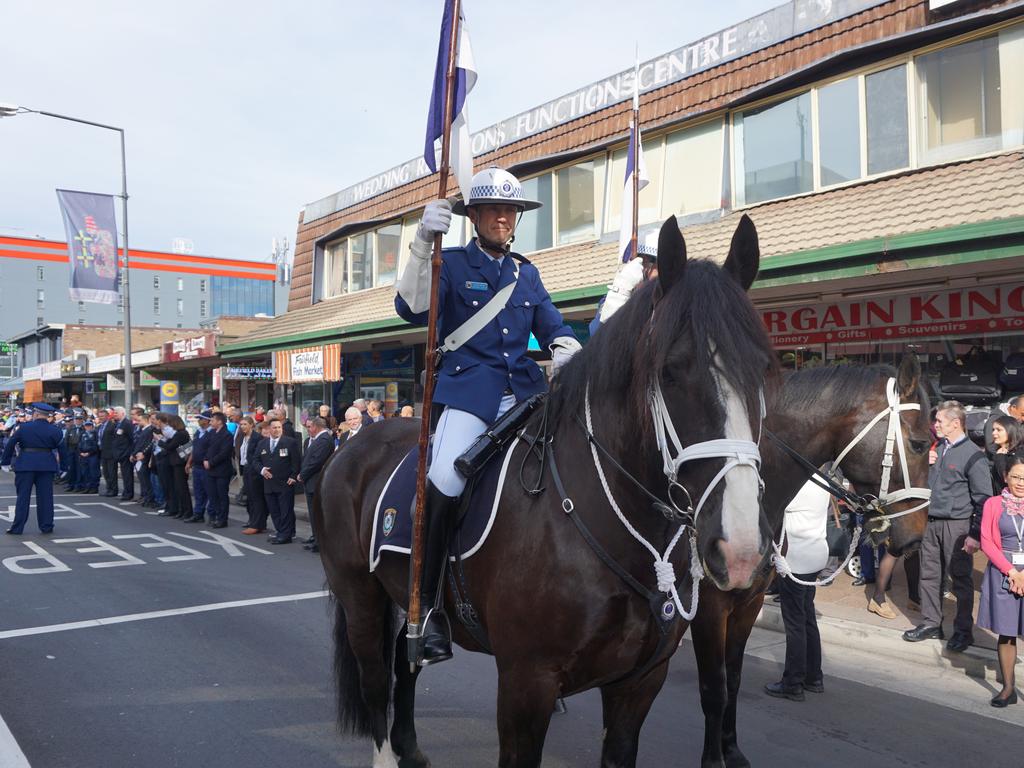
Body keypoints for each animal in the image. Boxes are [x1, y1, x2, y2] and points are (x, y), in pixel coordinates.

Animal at [311, 215, 774, 768]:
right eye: (671, 370)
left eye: (764, 368)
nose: (741, 552)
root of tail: (351, 444)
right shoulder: (526, 684)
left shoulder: (640, 682)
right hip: (359, 597)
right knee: (376, 679)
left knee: (407, 658)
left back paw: (410, 746)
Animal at [684, 356, 933, 768]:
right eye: (919, 443)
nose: (915, 538)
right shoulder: (708, 607)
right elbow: (712, 687)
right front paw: (713, 759)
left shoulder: (747, 604)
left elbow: (732, 679)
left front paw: (732, 751)